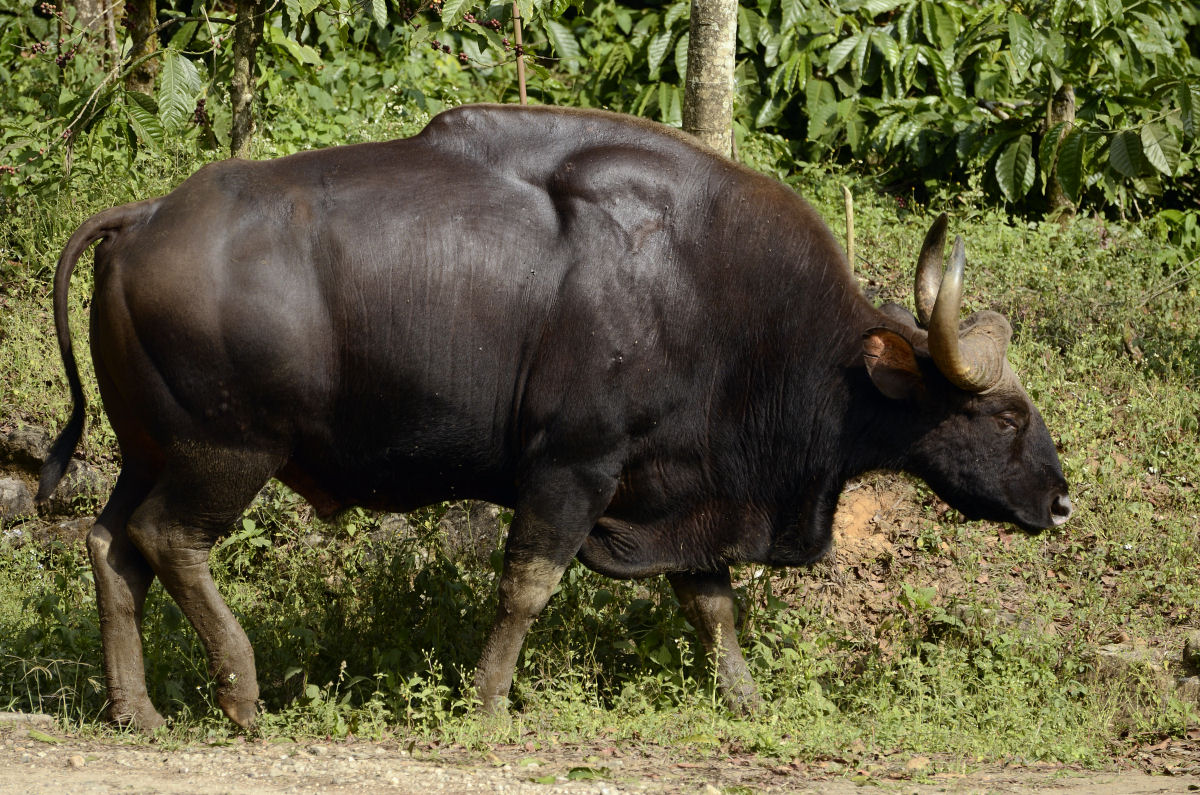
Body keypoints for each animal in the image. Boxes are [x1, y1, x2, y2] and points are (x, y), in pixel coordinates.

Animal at [37, 102, 1075, 730]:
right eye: (1004, 415)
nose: (1062, 501)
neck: (714, 297)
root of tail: (144, 215)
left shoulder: (682, 486)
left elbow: (712, 604)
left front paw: (744, 699)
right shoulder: (574, 468)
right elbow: (528, 586)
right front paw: (490, 701)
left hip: (147, 449)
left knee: (110, 543)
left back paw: (135, 708)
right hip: (227, 451)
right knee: (172, 540)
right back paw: (243, 696)